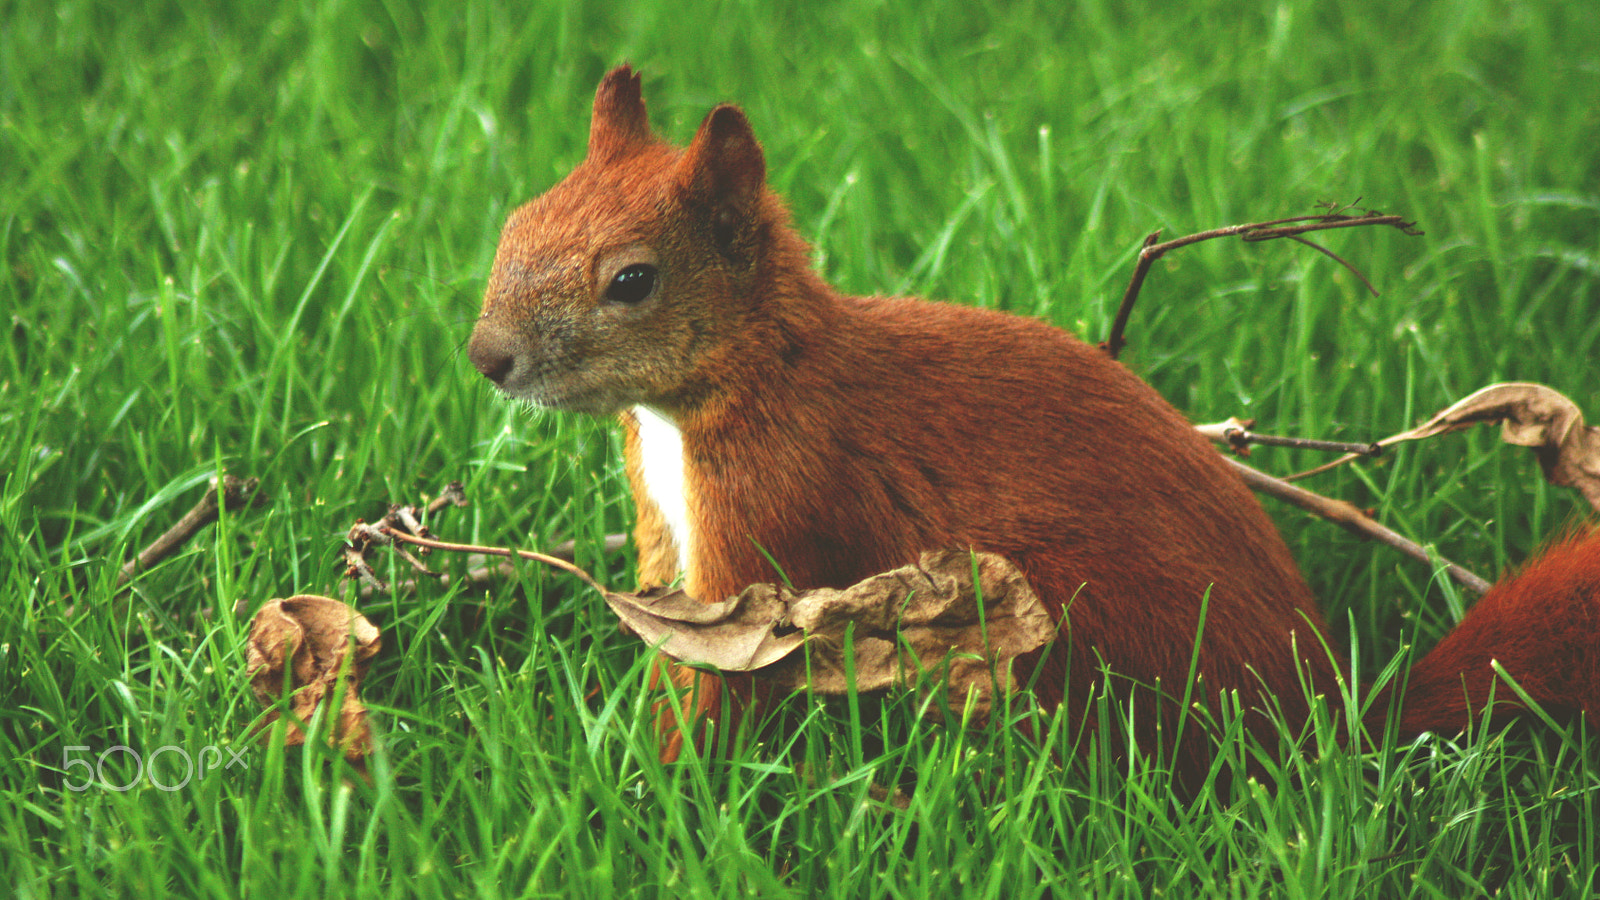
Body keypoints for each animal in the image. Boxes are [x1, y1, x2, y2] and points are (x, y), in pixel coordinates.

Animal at [467, 65, 1600, 768]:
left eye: (632, 281)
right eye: (516, 220)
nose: (487, 359)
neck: (742, 380)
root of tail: (1318, 726)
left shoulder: (772, 516)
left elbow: (726, 683)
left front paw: (659, 779)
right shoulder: (670, 530)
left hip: (1062, 631)